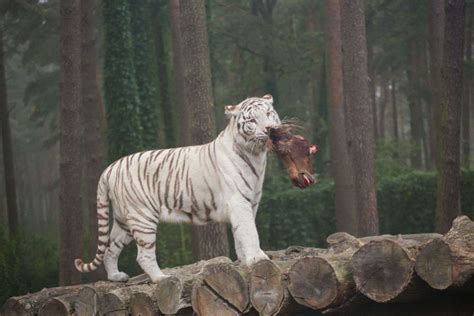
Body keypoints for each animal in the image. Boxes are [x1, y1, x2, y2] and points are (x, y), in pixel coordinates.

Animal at [75, 95, 282, 282]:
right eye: (252, 120)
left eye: (268, 113)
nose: (268, 129)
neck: (256, 156)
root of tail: (110, 169)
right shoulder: (239, 202)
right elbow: (249, 231)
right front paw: (258, 258)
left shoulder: (250, 202)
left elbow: (240, 234)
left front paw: (245, 260)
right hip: (142, 217)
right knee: (143, 255)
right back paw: (161, 278)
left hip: (123, 220)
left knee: (110, 249)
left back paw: (116, 277)